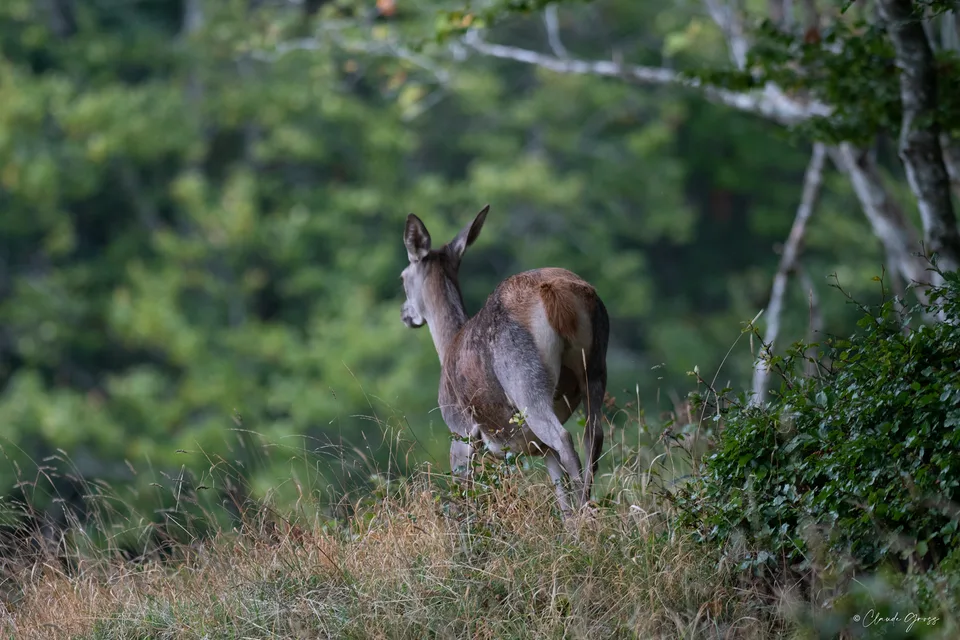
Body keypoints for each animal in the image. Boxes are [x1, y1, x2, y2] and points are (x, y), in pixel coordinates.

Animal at [400, 205, 610, 518]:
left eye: (402, 277)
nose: (405, 314)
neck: (447, 346)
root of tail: (557, 293)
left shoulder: (459, 430)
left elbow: (463, 498)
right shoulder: (537, 446)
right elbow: (558, 488)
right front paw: (567, 523)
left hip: (524, 378)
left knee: (564, 437)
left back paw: (586, 513)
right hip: (596, 366)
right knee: (593, 434)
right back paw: (586, 510)